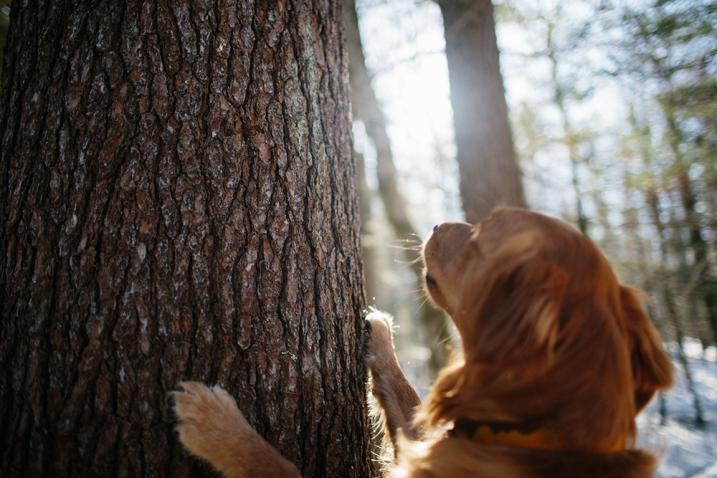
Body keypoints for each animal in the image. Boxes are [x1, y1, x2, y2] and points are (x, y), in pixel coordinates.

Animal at [172, 207, 672, 476]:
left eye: (486, 231)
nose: (434, 224)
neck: (538, 435)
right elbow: (405, 396)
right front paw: (379, 336)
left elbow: (283, 467)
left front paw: (215, 425)